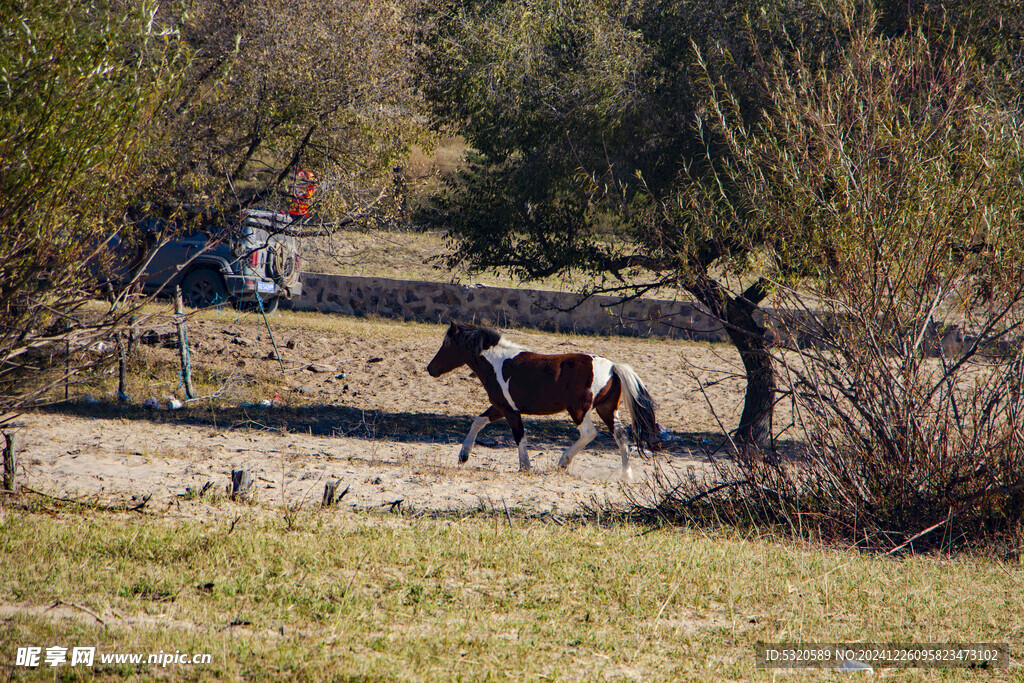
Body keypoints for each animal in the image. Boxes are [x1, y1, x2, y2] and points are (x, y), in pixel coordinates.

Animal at [425, 321, 659, 479]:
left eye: (446, 345)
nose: (430, 368)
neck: (497, 363)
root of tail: (612, 367)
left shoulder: (510, 411)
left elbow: (519, 436)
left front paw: (525, 467)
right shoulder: (500, 407)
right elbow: (478, 421)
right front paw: (463, 455)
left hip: (579, 410)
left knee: (589, 433)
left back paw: (563, 461)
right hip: (607, 409)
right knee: (622, 437)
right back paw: (626, 476)